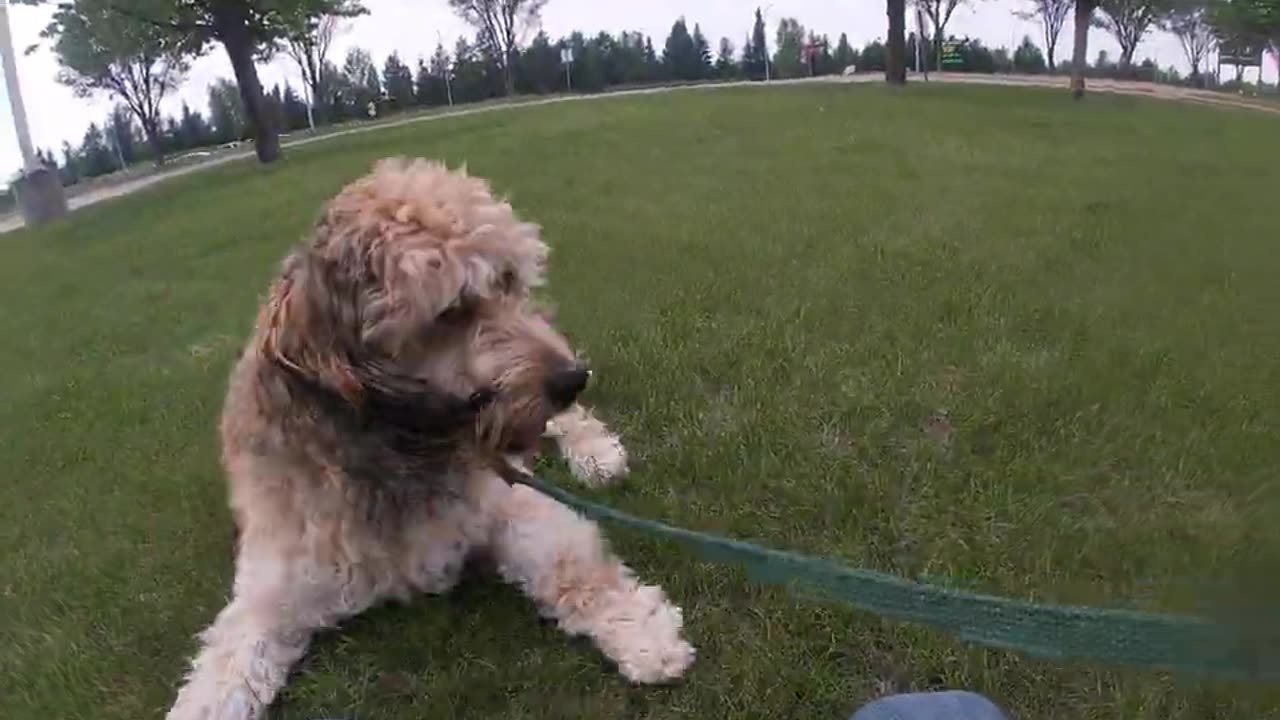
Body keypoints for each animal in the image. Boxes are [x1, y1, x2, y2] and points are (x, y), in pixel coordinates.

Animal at [167, 158, 701, 717]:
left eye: (506, 278)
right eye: (451, 310)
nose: (573, 378)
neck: (393, 446)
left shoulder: (507, 502)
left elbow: (573, 565)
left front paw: (643, 633)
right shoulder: (272, 585)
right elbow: (225, 668)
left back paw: (596, 455)